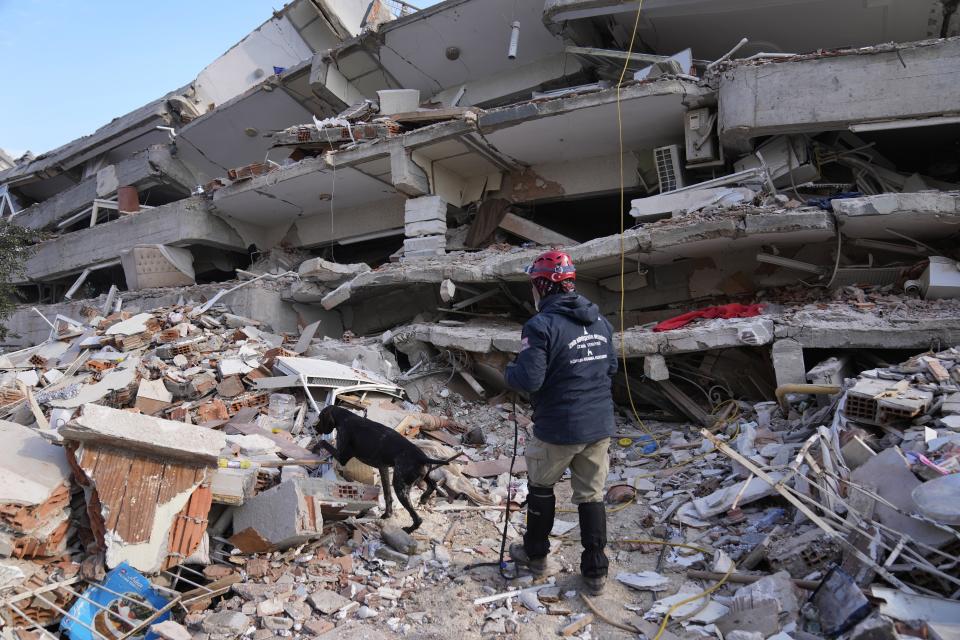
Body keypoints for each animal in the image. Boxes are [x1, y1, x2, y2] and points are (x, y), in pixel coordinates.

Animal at [316, 408, 462, 532]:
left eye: (320, 418)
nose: (315, 428)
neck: (345, 417)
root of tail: (422, 457)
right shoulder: (383, 468)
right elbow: (387, 495)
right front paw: (387, 514)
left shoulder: (342, 457)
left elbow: (323, 443)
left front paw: (316, 445)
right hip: (421, 476)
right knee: (432, 485)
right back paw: (424, 498)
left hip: (401, 488)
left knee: (418, 518)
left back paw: (409, 530)